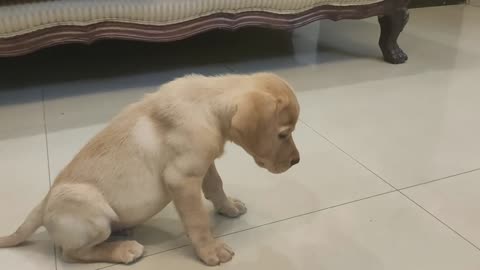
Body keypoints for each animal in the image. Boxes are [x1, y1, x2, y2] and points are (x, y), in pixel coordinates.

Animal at [0, 72, 300, 266]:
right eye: (283, 134)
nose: (297, 161)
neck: (208, 104)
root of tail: (42, 206)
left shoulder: (204, 164)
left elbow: (216, 187)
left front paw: (228, 207)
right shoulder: (182, 178)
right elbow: (198, 221)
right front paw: (209, 250)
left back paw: (123, 232)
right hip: (93, 214)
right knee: (71, 253)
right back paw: (122, 250)